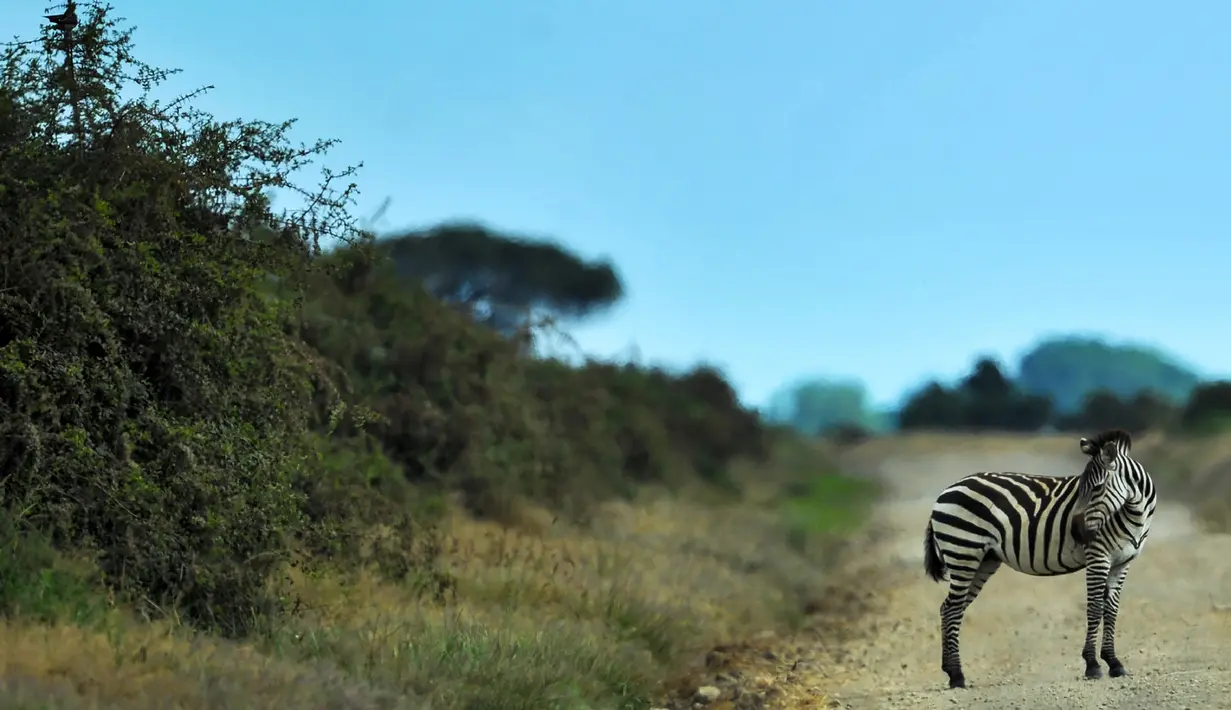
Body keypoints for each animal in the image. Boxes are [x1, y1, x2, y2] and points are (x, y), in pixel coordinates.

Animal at [921, 429, 1157, 689]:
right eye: (1081, 488)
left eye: (1096, 488)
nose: (1077, 532)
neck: (1135, 513)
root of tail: (948, 489)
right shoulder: (1098, 556)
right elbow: (1095, 607)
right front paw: (1093, 665)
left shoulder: (1122, 563)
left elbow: (1112, 610)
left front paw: (1114, 662)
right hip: (963, 552)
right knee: (953, 608)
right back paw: (957, 676)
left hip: (983, 560)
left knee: (949, 608)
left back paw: (951, 671)